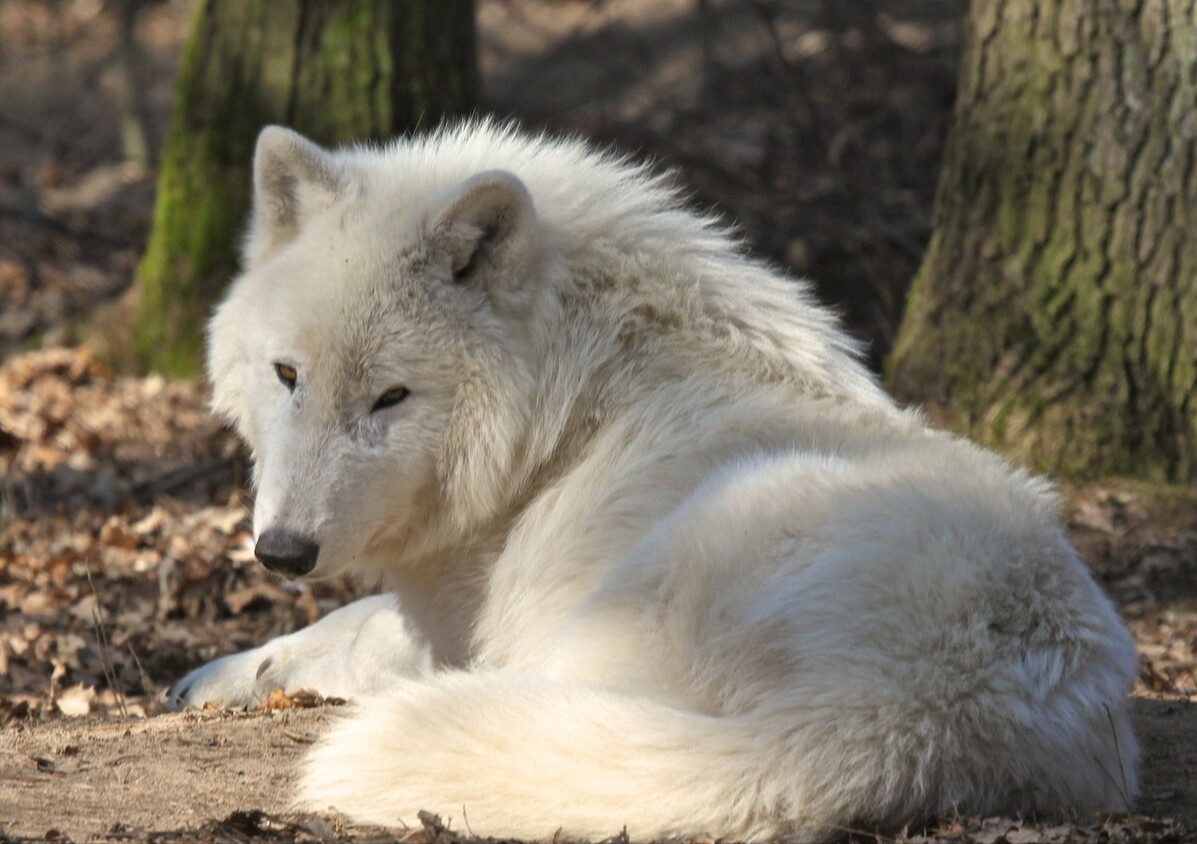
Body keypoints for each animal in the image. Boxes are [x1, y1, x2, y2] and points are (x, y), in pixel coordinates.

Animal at [168, 122, 1139, 838]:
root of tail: (910, 713)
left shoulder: (466, 616)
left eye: (390, 397)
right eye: (287, 376)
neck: (566, 406)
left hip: (653, 578)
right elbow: (348, 622)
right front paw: (216, 675)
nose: (282, 551)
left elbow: (367, 628)